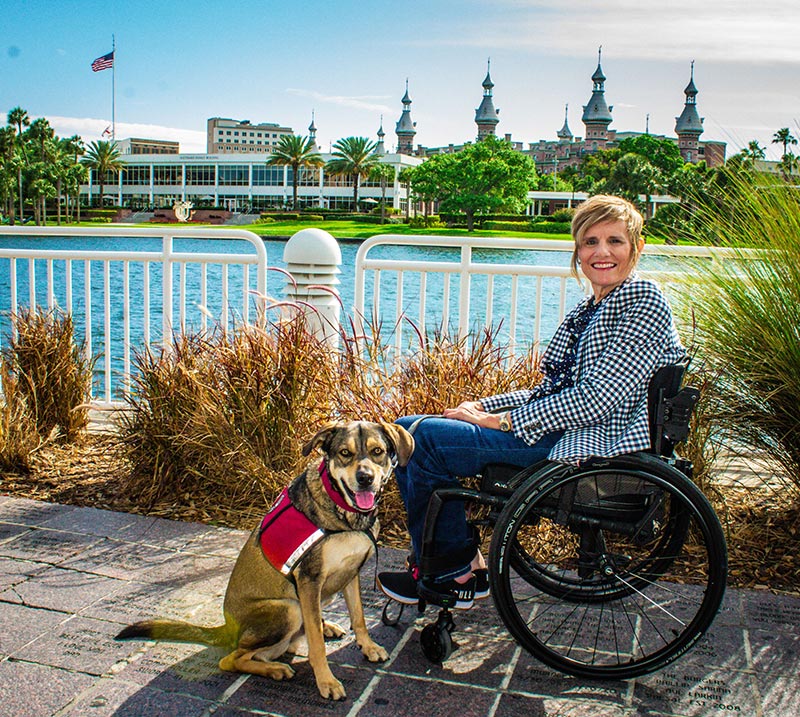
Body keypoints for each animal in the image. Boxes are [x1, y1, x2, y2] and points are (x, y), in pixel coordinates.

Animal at [115, 420, 416, 700]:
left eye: (377, 452)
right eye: (345, 453)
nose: (365, 478)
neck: (344, 514)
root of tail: (227, 628)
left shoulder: (351, 572)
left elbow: (359, 616)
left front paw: (367, 646)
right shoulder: (309, 580)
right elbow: (317, 645)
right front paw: (326, 682)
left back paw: (322, 628)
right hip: (288, 608)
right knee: (232, 659)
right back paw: (275, 669)